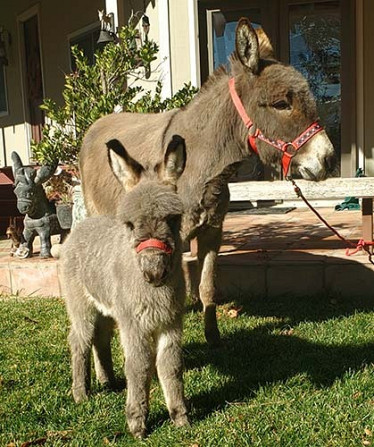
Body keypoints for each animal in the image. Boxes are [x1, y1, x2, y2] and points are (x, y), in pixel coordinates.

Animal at [61, 136, 191, 438]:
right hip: (82, 305)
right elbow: (139, 365)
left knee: (100, 338)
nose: (153, 272)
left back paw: (108, 381)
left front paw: (180, 418)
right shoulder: (135, 323)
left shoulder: (170, 322)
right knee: (80, 339)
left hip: (107, 308)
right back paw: (81, 393)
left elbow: (171, 364)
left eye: (173, 219)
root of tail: (83, 223)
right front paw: (137, 423)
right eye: (130, 225)